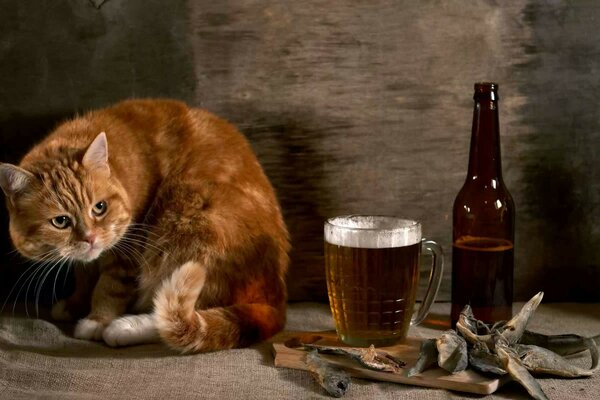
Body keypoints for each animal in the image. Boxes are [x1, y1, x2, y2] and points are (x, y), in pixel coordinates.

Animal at [0, 100, 290, 354]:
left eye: (99, 207)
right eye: (60, 221)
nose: (90, 238)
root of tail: (275, 292)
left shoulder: (127, 248)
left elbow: (109, 286)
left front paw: (97, 319)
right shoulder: (88, 260)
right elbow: (84, 275)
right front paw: (74, 304)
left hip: (187, 218)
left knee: (175, 313)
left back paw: (124, 328)